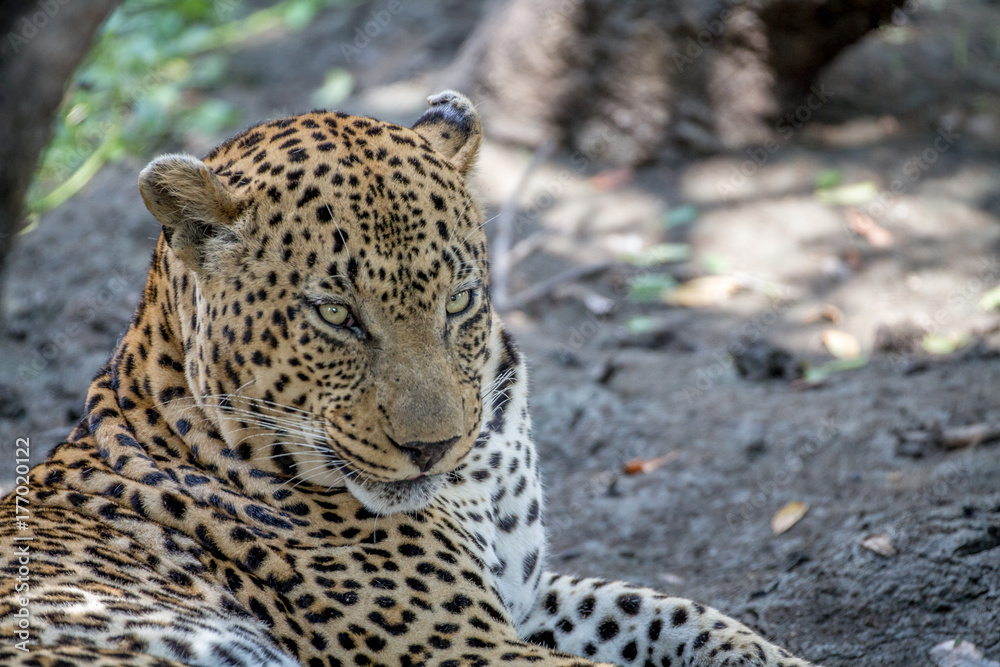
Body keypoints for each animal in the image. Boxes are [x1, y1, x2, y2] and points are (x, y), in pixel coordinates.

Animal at [0, 91, 819, 667]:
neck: (479, 479)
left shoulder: (523, 598)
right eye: (336, 314)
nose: (433, 448)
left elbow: (668, 610)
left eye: (457, 300)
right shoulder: (458, 646)